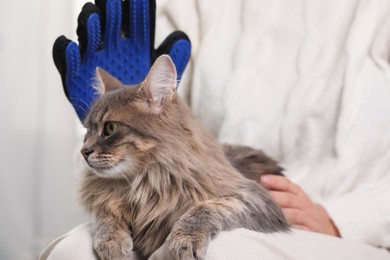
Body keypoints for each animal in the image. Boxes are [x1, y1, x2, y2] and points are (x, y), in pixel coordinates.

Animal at [79, 53, 288, 258]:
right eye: (87, 131)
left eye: (110, 128)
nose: (84, 152)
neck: (144, 182)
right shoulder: (108, 200)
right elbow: (105, 215)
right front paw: (111, 241)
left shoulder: (255, 197)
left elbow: (205, 207)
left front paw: (184, 239)